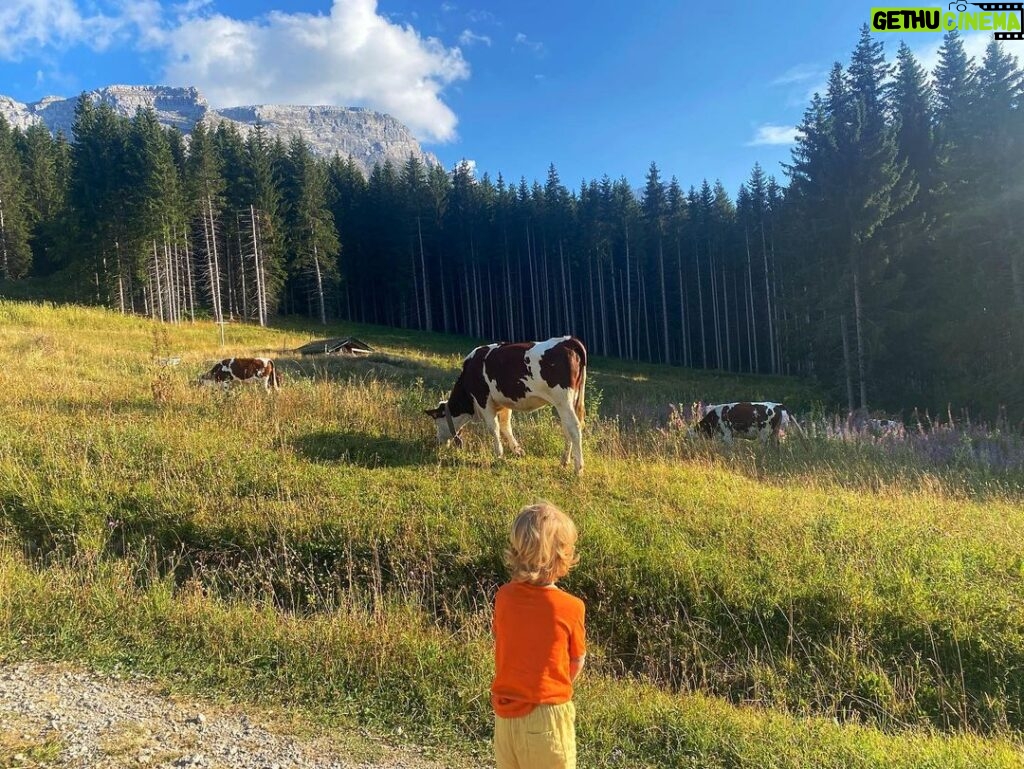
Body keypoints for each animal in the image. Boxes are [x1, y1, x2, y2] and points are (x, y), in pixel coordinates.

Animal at [423, 337, 589, 473]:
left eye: (437, 422)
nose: (437, 442)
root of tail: (567, 340)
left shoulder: (484, 400)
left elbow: (494, 428)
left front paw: (499, 454)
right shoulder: (504, 402)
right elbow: (505, 426)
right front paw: (517, 451)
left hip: (563, 400)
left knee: (574, 428)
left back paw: (578, 468)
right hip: (570, 401)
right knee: (567, 428)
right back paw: (564, 461)